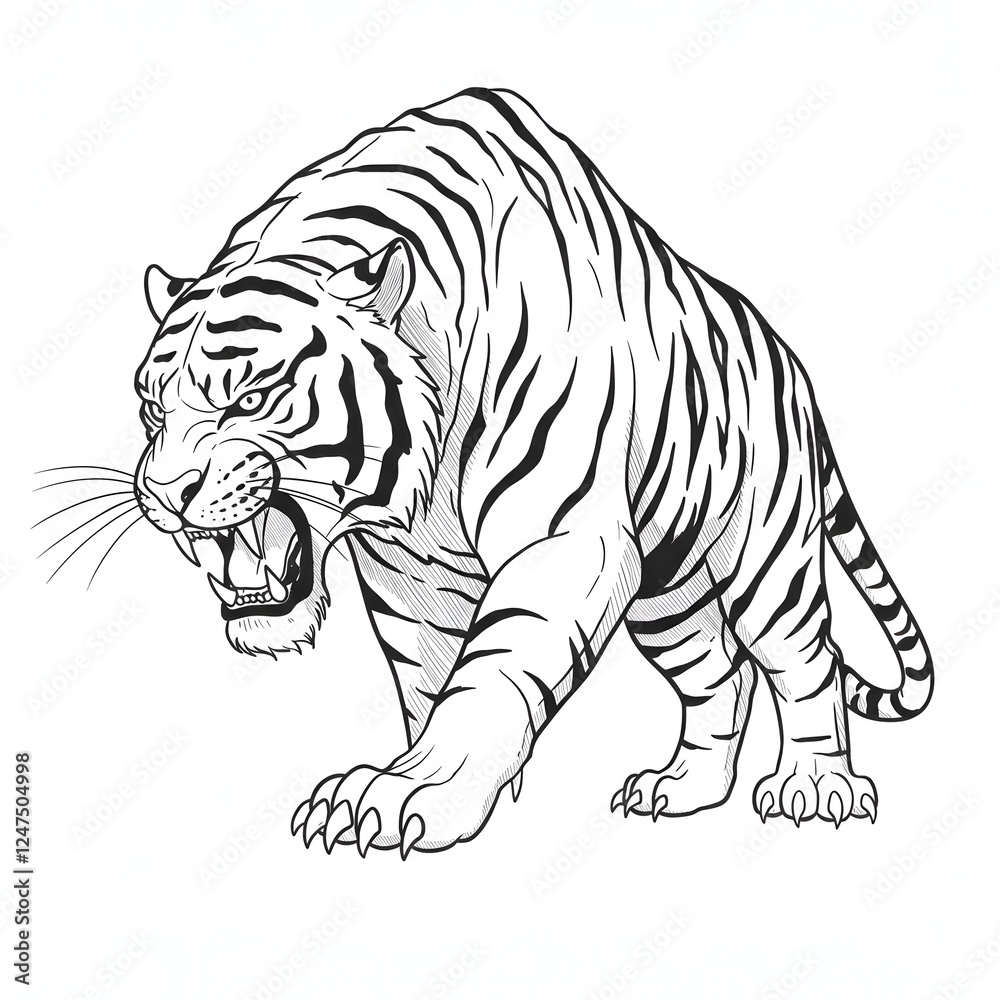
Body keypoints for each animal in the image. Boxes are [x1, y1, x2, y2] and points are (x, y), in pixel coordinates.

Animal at [131, 87, 933, 857]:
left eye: (251, 398)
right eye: (150, 407)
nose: (163, 493)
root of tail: (791, 362)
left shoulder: (565, 541)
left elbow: (491, 669)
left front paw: (408, 794)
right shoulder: (407, 571)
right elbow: (428, 676)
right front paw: (455, 787)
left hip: (765, 559)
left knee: (808, 662)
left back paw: (817, 787)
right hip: (667, 591)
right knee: (719, 675)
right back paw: (681, 787)